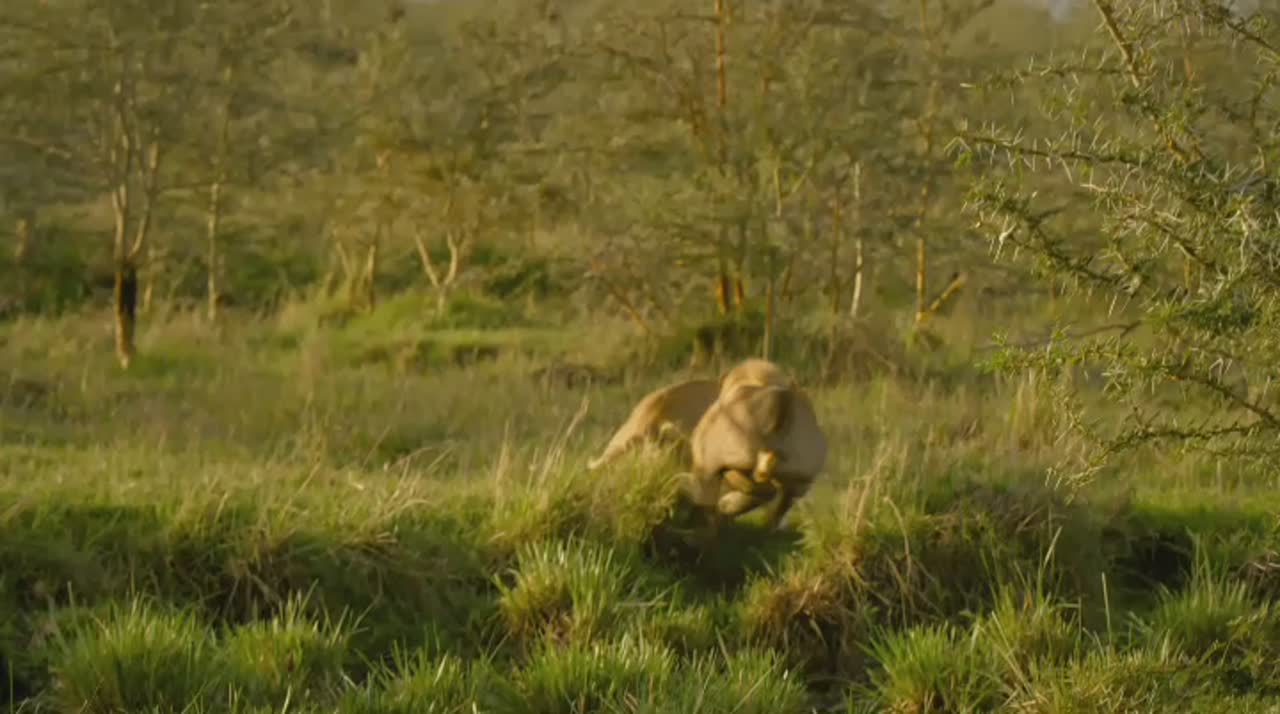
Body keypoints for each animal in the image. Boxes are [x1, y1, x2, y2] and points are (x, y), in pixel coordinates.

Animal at [683, 358, 827, 539]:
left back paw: (722, 512)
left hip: (726, 463)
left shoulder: (706, 467)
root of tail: (780, 402)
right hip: (801, 478)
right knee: (777, 501)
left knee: (759, 490)